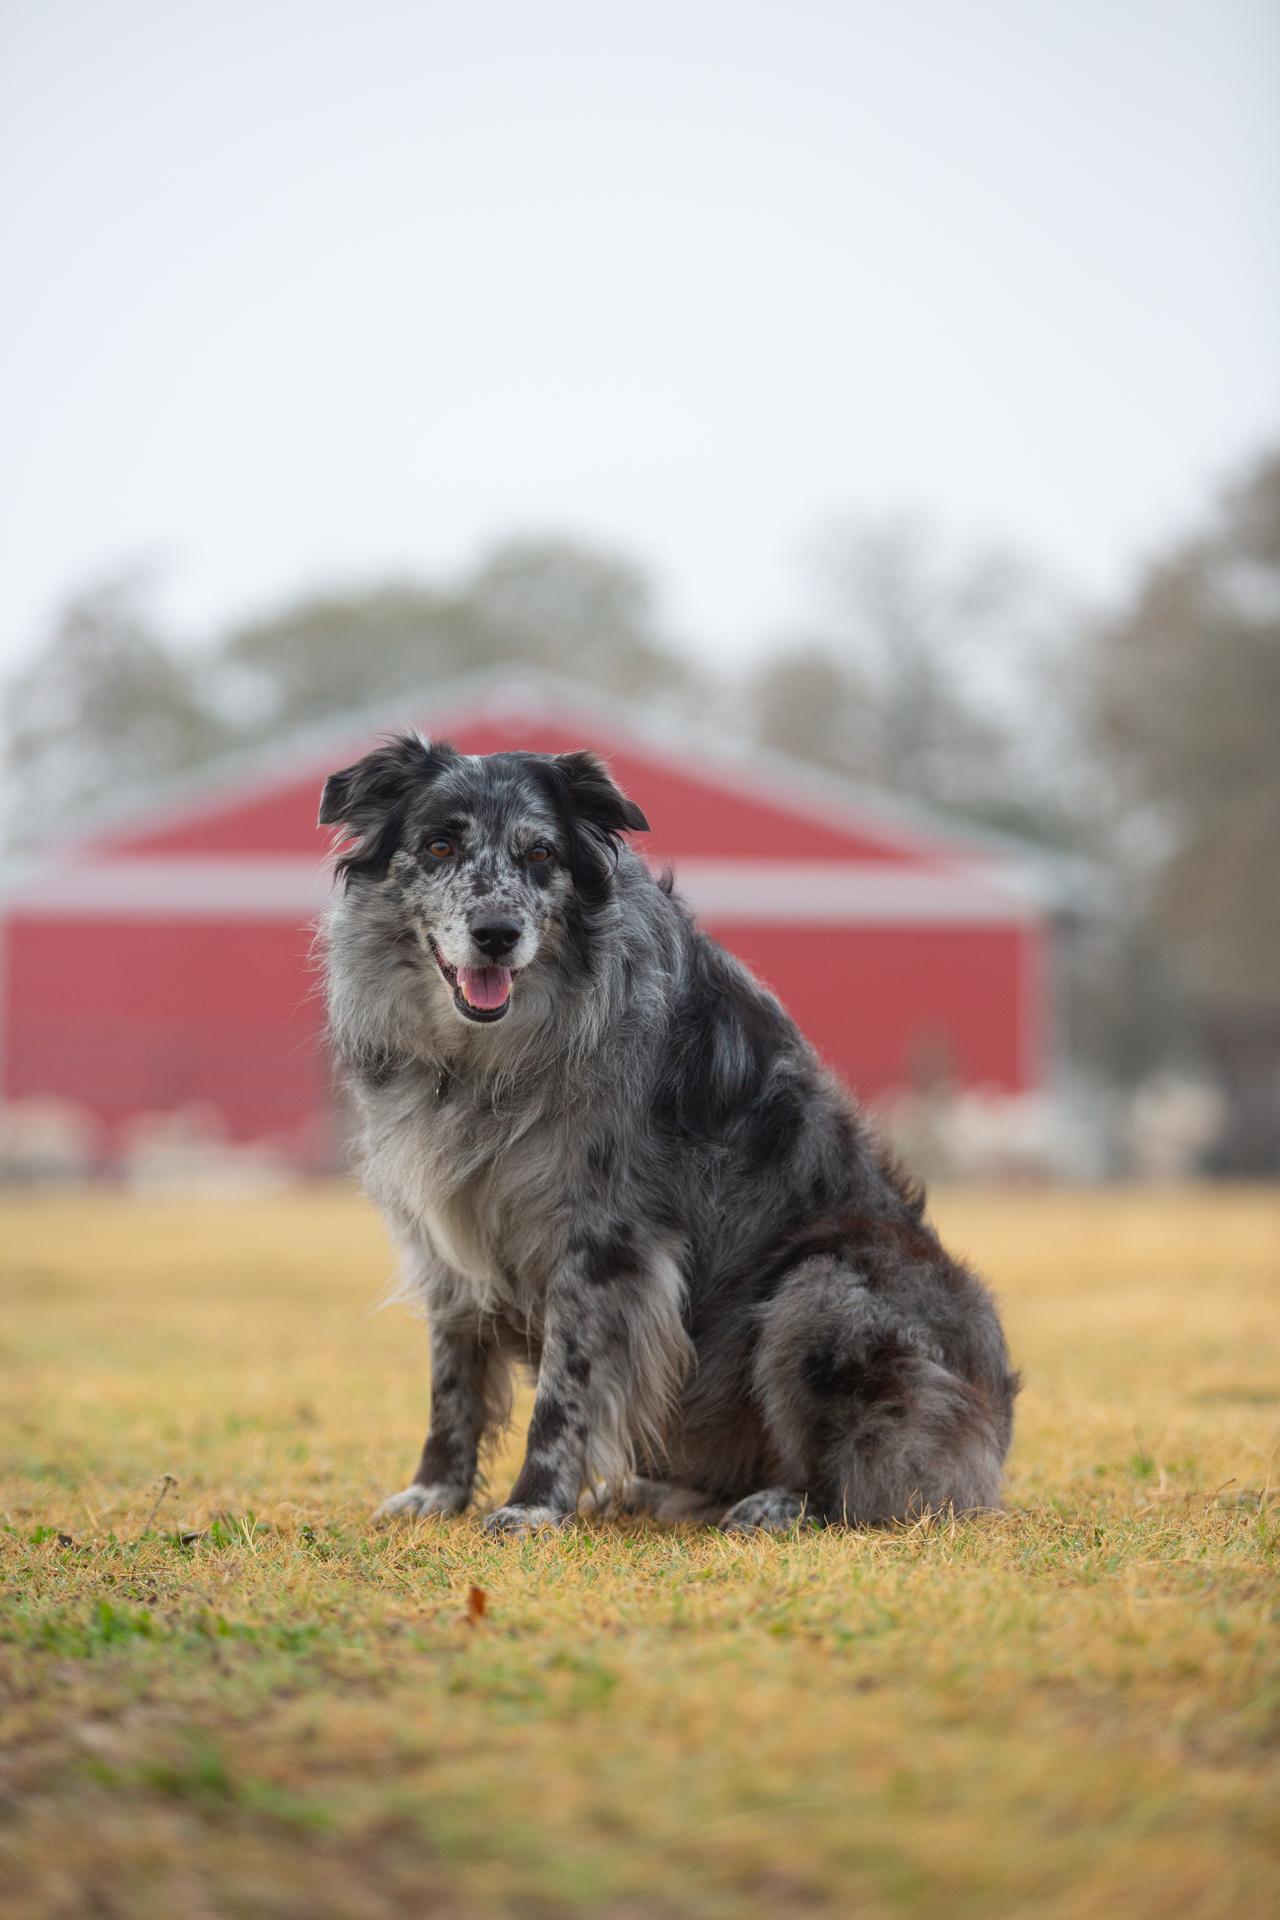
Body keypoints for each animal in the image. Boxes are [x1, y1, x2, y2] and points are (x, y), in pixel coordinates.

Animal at [314, 733, 1013, 1528]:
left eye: (540, 854)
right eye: (439, 845)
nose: (496, 935)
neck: (486, 1058)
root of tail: (991, 1427)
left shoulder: (604, 1240)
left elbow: (565, 1388)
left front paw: (535, 1507)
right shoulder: (446, 1239)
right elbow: (453, 1379)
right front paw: (437, 1492)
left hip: (822, 1285)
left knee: (863, 1476)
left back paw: (780, 1505)